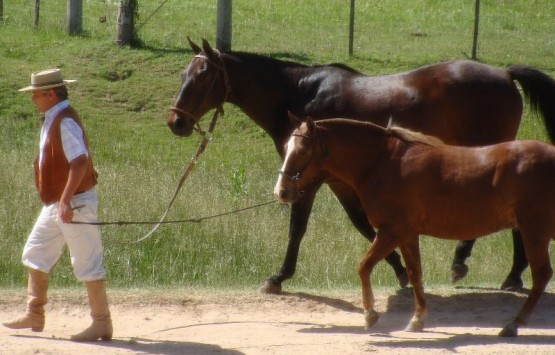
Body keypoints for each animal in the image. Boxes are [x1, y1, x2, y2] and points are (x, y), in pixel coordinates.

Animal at [168, 38, 555, 294]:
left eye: (202, 76)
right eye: (184, 73)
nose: (176, 122)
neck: (299, 93)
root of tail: (504, 73)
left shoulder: (308, 178)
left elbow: (298, 227)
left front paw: (278, 277)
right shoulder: (338, 181)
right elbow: (363, 225)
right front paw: (400, 269)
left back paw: (483, 267)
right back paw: (510, 273)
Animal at [276, 115, 555, 338]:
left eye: (302, 150)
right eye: (286, 147)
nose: (282, 192)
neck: (384, 163)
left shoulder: (392, 231)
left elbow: (364, 267)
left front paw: (370, 315)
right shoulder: (407, 235)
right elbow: (415, 273)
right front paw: (417, 319)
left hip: (534, 231)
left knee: (542, 274)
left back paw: (514, 323)